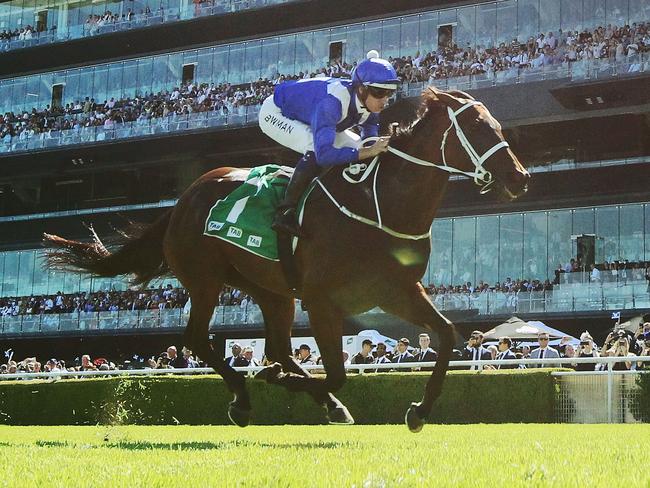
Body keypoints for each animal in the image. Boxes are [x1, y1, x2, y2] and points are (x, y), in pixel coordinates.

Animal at [43, 86, 528, 430]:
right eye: (479, 128)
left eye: (497, 125)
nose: (520, 178)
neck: (378, 204)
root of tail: (185, 197)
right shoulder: (321, 299)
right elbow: (335, 371)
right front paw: (277, 381)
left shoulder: (394, 291)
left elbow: (445, 336)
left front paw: (418, 411)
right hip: (206, 278)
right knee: (199, 339)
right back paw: (244, 396)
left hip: (271, 290)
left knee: (277, 346)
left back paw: (302, 395)